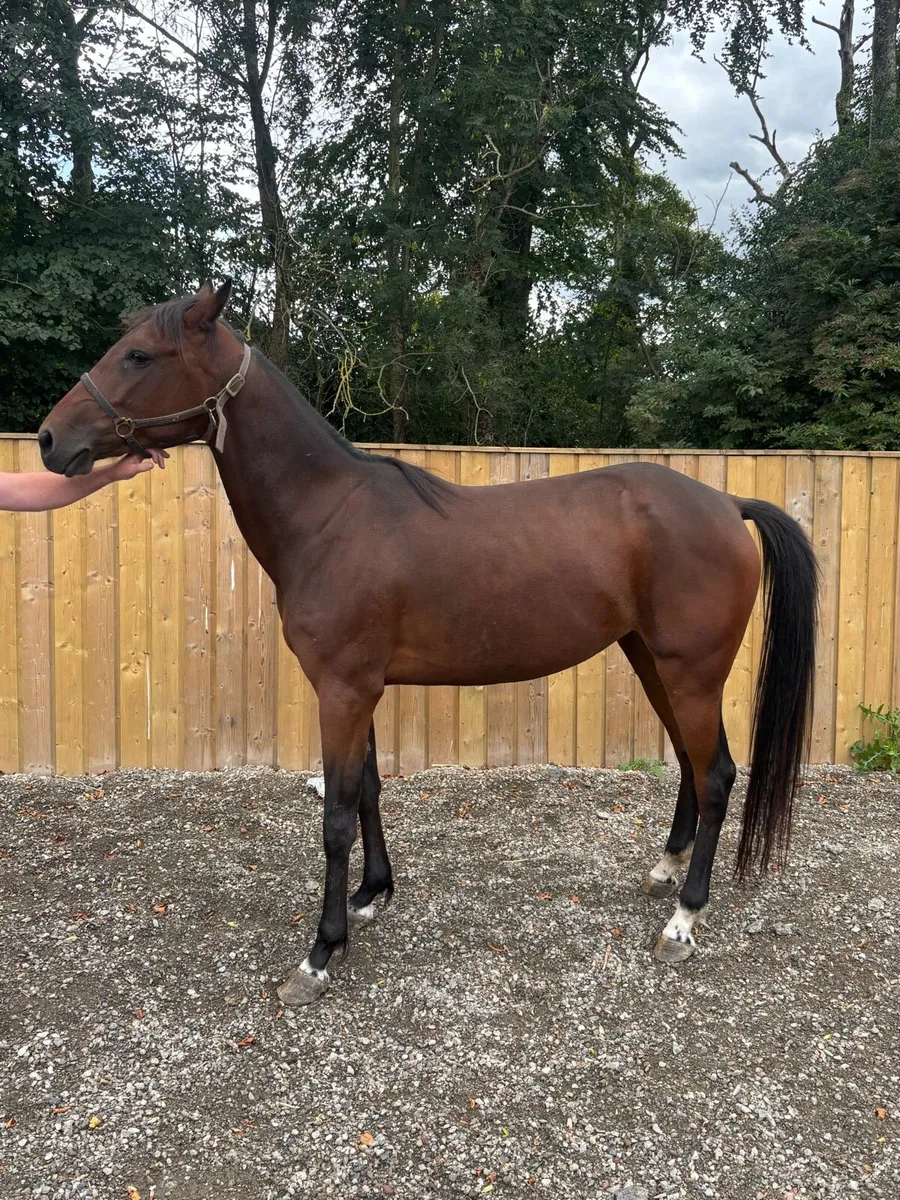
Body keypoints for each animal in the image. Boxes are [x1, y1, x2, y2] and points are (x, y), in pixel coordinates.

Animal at [38, 280, 818, 1006]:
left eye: (140, 354)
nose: (49, 440)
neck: (329, 515)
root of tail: (726, 504)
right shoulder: (358, 689)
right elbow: (369, 792)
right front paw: (371, 896)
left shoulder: (343, 690)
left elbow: (335, 816)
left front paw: (320, 954)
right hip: (652, 660)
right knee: (692, 765)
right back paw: (664, 872)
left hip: (690, 671)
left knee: (716, 774)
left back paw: (684, 920)